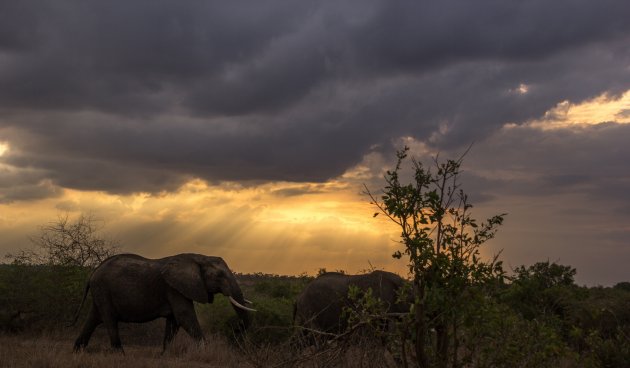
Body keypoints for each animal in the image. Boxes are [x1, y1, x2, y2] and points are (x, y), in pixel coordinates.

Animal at [70, 252, 256, 352]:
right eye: (219, 276)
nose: (236, 328)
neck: (199, 257)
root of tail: (93, 273)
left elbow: (174, 322)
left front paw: (164, 355)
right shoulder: (173, 288)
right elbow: (184, 317)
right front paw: (205, 351)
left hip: (100, 292)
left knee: (94, 319)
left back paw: (77, 351)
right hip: (103, 290)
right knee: (109, 320)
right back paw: (120, 355)